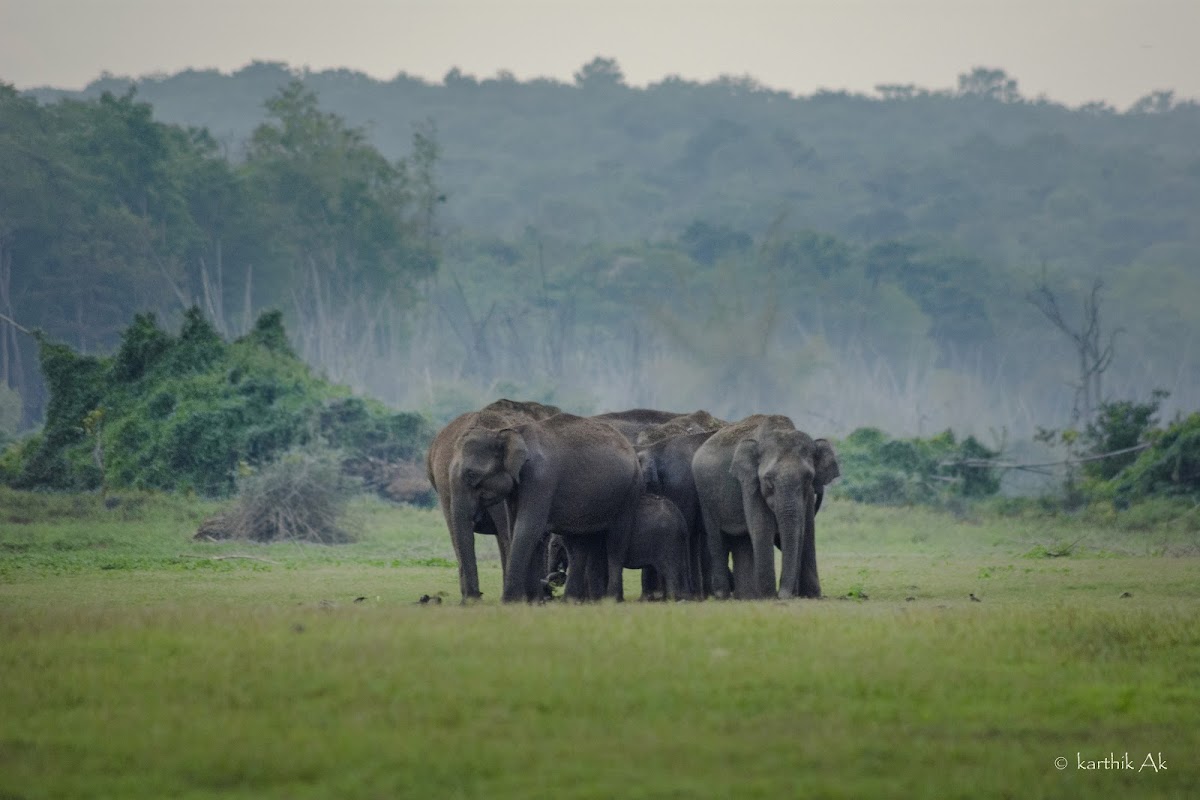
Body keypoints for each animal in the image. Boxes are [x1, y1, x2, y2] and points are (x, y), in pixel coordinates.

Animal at [448, 412, 643, 599]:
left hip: (629, 492)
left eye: (471, 474)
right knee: (579, 545)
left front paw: (511, 601)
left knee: (616, 544)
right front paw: (533, 601)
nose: (475, 598)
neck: (506, 432)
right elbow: (519, 529)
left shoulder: (540, 478)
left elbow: (528, 528)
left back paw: (612, 599)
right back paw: (577, 601)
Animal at [691, 417, 840, 597]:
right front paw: (768, 596)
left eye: (808, 478)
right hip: (704, 494)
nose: (785, 594)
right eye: (768, 479)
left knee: (743, 540)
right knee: (716, 536)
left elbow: (804, 530)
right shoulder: (750, 483)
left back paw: (746, 596)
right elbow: (762, 526)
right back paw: (724, 596)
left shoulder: (808, 495)